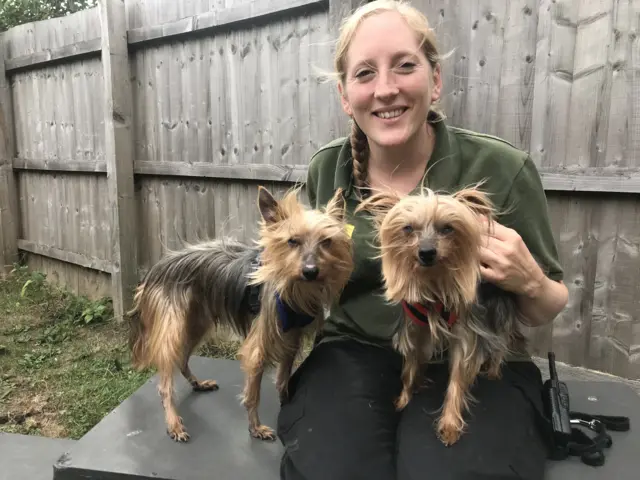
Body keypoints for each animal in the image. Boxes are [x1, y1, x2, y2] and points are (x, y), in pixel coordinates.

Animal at [127, 187, 352, 442]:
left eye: (327, 241)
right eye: (292, 241)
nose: (311, 271)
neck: (294, 290)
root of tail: (155, 268)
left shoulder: (291, 339)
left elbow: (283, 380)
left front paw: (286, 404)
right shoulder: (258, 347)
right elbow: (253, 394)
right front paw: (255, 428)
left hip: (196, 322)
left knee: (182, 358)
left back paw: (198, 383)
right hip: (173, 326)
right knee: (166, 379)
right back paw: (173, 422)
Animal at [358, 187, 528, 446]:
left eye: (447, 228)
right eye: (408, 228)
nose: (427, 252)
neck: (434, 285)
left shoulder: (465, 335)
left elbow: (457, 378)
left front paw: (449, 425)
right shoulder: (415, 329)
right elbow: (410, 366)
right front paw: (406, 397)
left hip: (501, 305)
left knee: (500, 340)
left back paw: (493, 371)